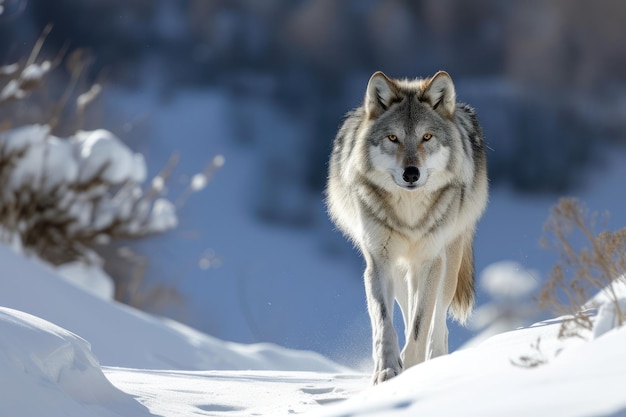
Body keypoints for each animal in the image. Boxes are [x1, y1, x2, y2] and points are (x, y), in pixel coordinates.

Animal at [326, 69, 488, 384]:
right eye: (393, 137)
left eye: (427, 137)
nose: (411, 173)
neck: (409, 213)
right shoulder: (378, 264)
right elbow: (384, 323)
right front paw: (387, 370)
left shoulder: (429, 261)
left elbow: (420, 325)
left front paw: (412, 369)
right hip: (402, 271)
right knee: (405, 310)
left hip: (447, 263)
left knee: (438, 320)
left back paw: (436, 358)